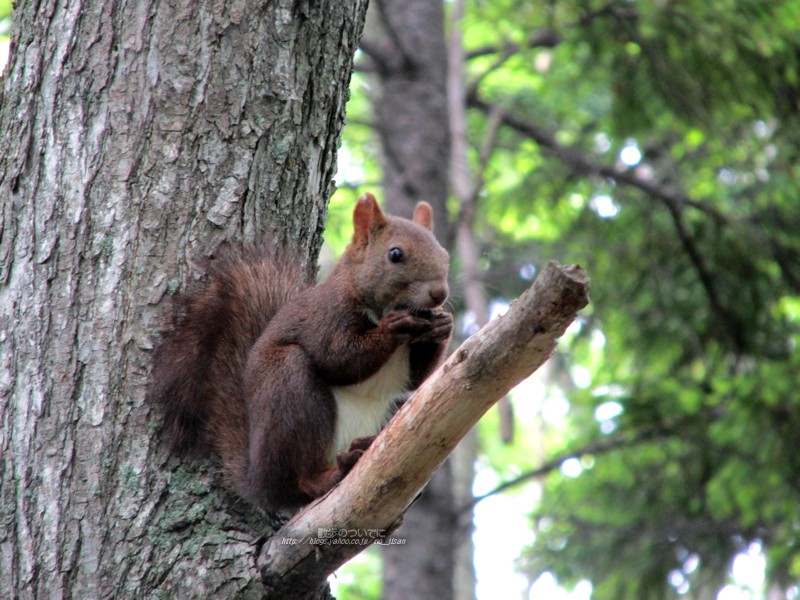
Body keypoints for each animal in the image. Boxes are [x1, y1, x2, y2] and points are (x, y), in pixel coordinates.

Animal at [148, 193, 450, 510]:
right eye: (395, 254)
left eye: (444, 254)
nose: (439, 294)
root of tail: (257, 478)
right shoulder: (325, 317)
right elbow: (338, 358)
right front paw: (394, 327)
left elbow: (417, 380)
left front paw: (443, 326)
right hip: (289, 388)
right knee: (300, 480)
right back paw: (331, 473)